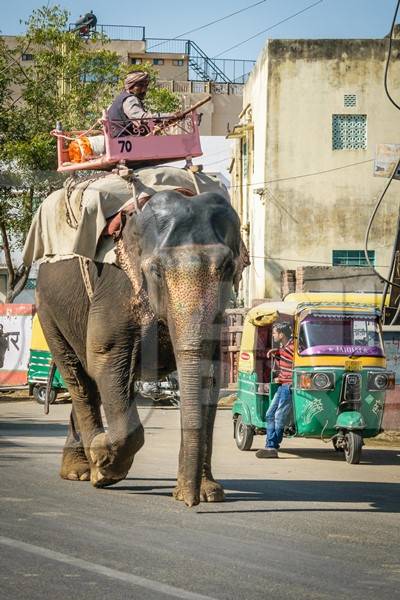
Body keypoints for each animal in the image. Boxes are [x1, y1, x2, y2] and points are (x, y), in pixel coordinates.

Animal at [35, 188, 247, 506]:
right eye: (156, 271)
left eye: (227, 268)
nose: (189, 502)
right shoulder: (116, 287)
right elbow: (105, 357)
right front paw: (104, 467)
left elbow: (212, 373)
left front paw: (208, 493)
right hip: (48, 309)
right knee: (79, 377)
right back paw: (85, 468)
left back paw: (81, 467)